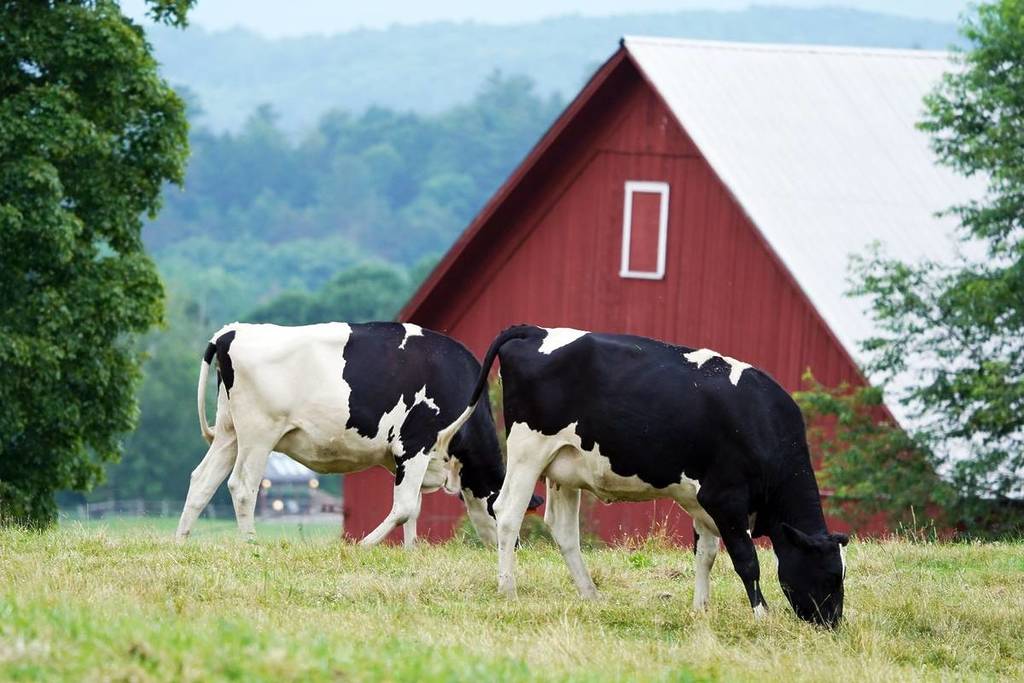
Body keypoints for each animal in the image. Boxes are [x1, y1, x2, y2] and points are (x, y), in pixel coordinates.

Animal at [175, 321, 528, 546]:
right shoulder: (415, 444)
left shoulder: (410, 459)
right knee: (242, 486)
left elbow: (413, 509)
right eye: (498, 508)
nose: (514, 545)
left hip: (229, 432)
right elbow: (403, 508)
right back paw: (250, 545)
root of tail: (230, 331)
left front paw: (411, 552)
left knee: (202, 481)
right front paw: (363, 546)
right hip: (258, 433)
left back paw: (181, 542)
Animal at [437, 325, 848, 628]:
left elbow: (706, 554)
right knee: (508, 513)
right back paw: (508, 590)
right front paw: (761, 615)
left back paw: (590, 594)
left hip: (563, 465)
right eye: (829, 575)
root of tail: (535, 331)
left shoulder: (701, 500)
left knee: (563, 529)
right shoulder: (725, 498)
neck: (762, 422)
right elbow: (746, 559)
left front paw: (700, 609)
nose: (832, 624)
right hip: (528, 450)